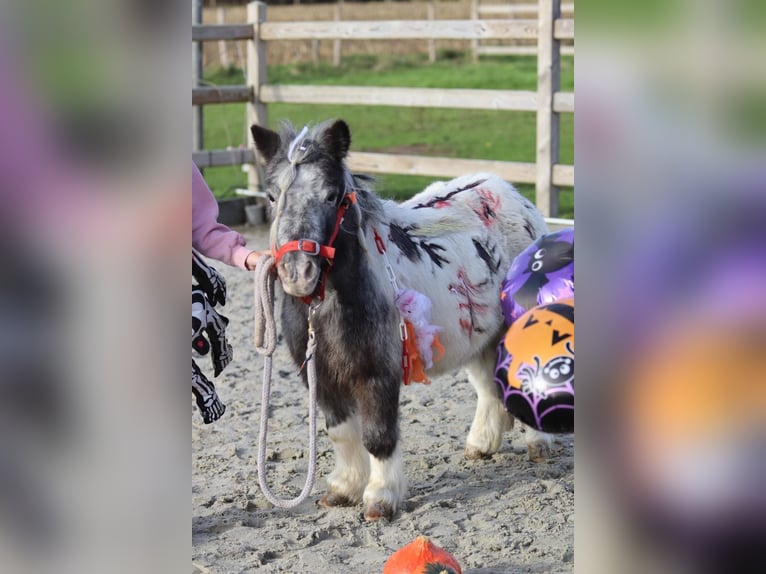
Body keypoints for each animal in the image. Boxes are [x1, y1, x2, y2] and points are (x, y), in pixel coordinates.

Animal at [251, 119, 554, 521]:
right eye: (272, 196)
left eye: (332, 196)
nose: (298, 273)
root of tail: (514, 195)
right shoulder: (323, 377)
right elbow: (341, 433)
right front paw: (343, 490)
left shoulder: (378, 371)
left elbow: (378, 435)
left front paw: (380, 499)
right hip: (479, 338)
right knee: (489, 389)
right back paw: (480, 445)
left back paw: (540, 446)